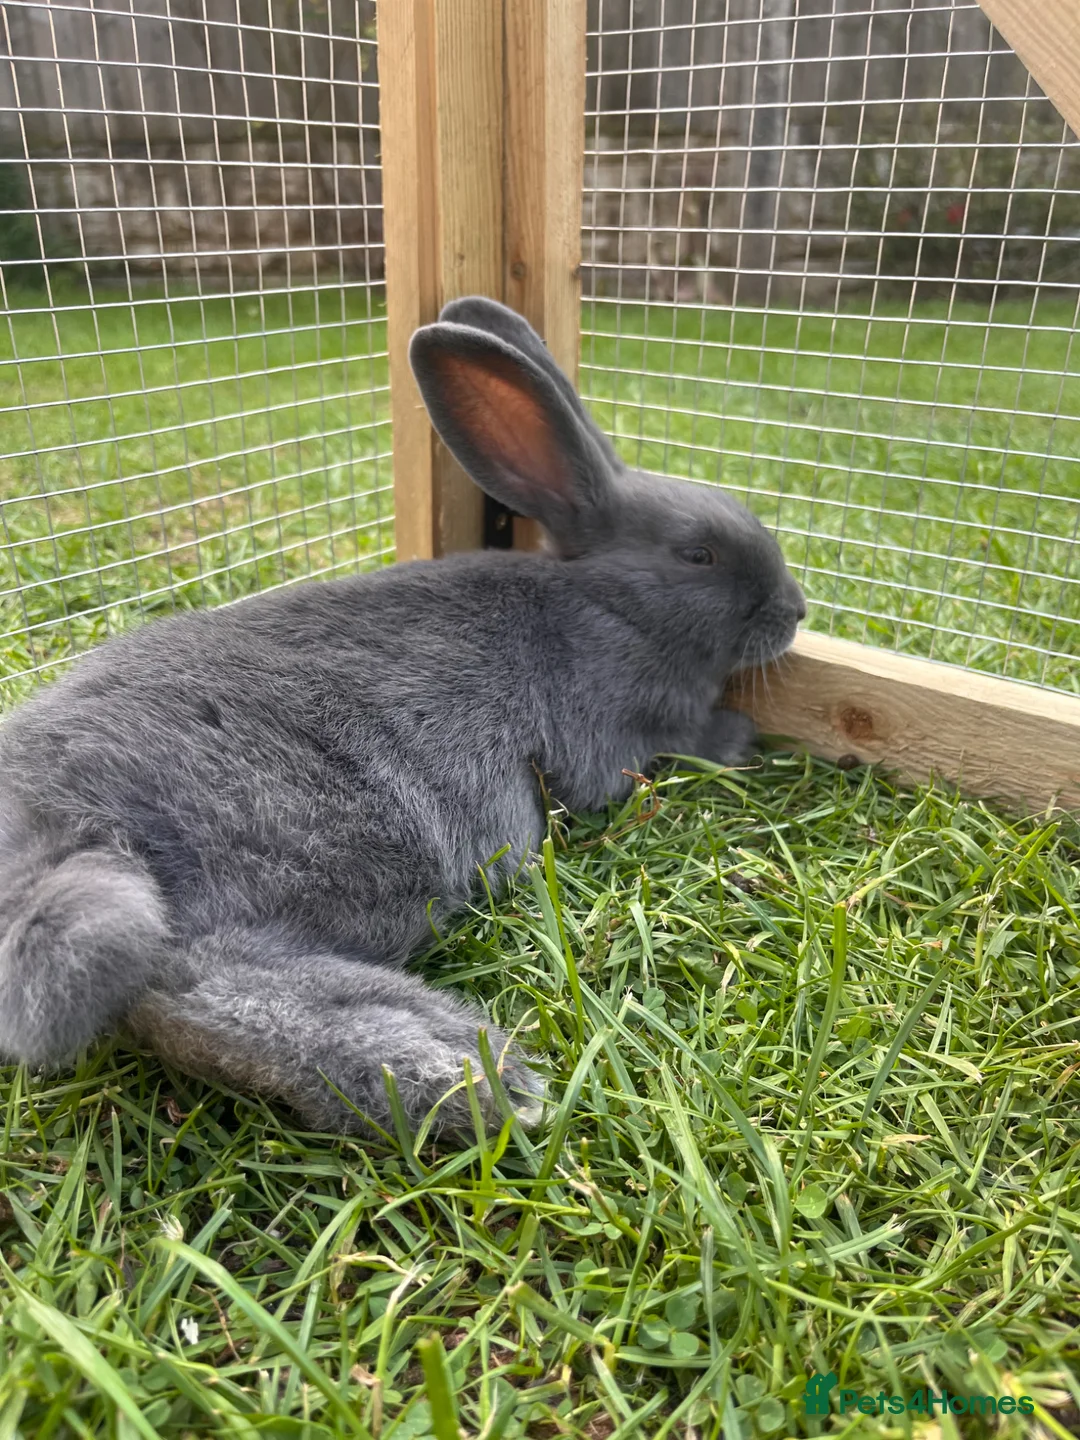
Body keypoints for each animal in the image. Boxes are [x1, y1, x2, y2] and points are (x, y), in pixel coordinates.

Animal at [0, 296, 805, 1138]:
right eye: (697, 555)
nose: (796, 612)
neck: (608, 603)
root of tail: (51, 815)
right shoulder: (614, 732)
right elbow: (661, 751)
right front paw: (738, 736)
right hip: (340, 843)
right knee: (193, 985)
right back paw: (467, 1075)